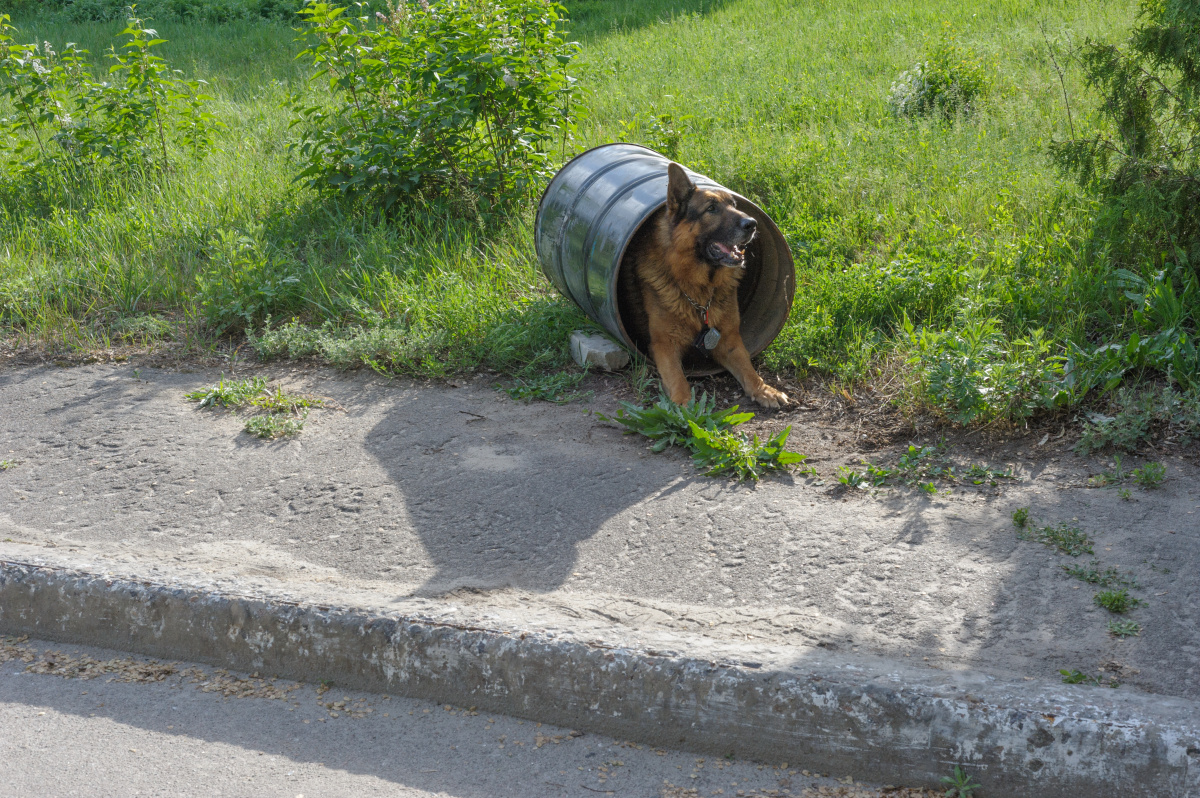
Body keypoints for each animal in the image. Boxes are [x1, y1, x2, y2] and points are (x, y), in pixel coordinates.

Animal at [619, 164, 787, 408]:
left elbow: (748, 369)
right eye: (711, 208)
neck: (699, 291)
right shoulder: (663, 345)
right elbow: (677, 378)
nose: (753, 224)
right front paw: (683, 403)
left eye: (734, 205)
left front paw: (764, 390)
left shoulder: (729, 340)